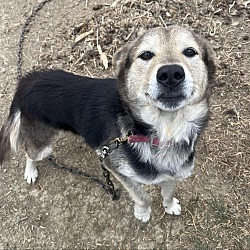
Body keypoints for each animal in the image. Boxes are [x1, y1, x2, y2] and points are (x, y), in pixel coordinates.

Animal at [0, 25, 215, 222]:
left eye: (190, 52)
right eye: (146, 55)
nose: (170, 73)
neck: (165, 131)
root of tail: (26, 81)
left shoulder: (174, 173)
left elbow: (168, 192)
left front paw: (169, 206)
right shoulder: (113, 166)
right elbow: (142, 196)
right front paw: (143, 213)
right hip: (42, 144)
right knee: (30, 152)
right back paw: (30, 171)